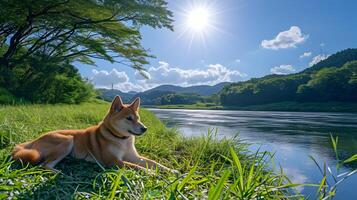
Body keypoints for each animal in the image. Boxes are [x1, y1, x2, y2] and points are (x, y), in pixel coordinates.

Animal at [13, 96, 175, 173]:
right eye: (129, 118)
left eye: (138, 118)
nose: (145, 128)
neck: (121, 140)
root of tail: (34, 140)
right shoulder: (114, 161)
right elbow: (136, 167)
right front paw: (152, 173)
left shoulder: (134, 157)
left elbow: (154, 163)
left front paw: (171, 170)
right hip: (67, 140)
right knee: (44, 165)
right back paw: (59, 172)